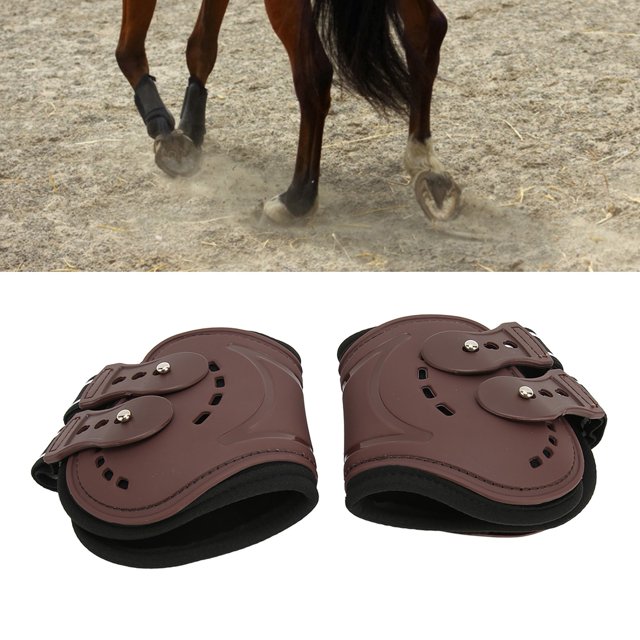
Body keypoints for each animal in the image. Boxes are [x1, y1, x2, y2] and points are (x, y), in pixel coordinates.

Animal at [116, 0, 461, 224]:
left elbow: (128, 50)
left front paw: (165, 132)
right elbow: (202, 47)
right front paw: (190, 129)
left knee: (314, 75)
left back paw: (297, 198)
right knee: (428, 29)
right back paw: (424, 161)